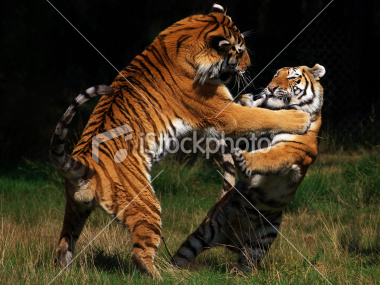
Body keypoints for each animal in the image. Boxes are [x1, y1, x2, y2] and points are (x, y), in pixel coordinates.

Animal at [171, 63, 326, 270]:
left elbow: (269, 156)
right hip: (205, 231)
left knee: (245, 266)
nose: (270, 88)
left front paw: (244, 160)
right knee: (183, 254)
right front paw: (246, 100)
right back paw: (170, 271)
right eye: (274, 75)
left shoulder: (291, 149)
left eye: (292, 77)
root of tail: (231, 242)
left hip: (260, 242)